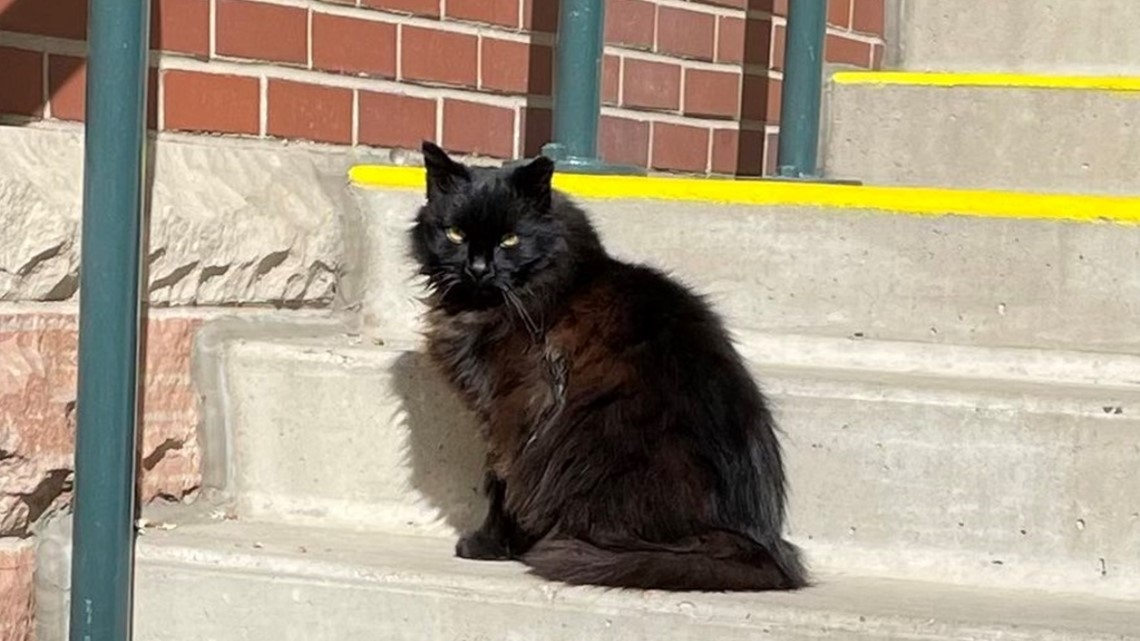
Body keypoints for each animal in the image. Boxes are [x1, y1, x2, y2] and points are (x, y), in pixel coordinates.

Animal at [405, 142, 807, 593]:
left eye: (510, 240)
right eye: (455, 234)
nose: (477, 269)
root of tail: (758, 544)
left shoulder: (513, 408)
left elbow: (500, 484)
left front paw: (486, 545)